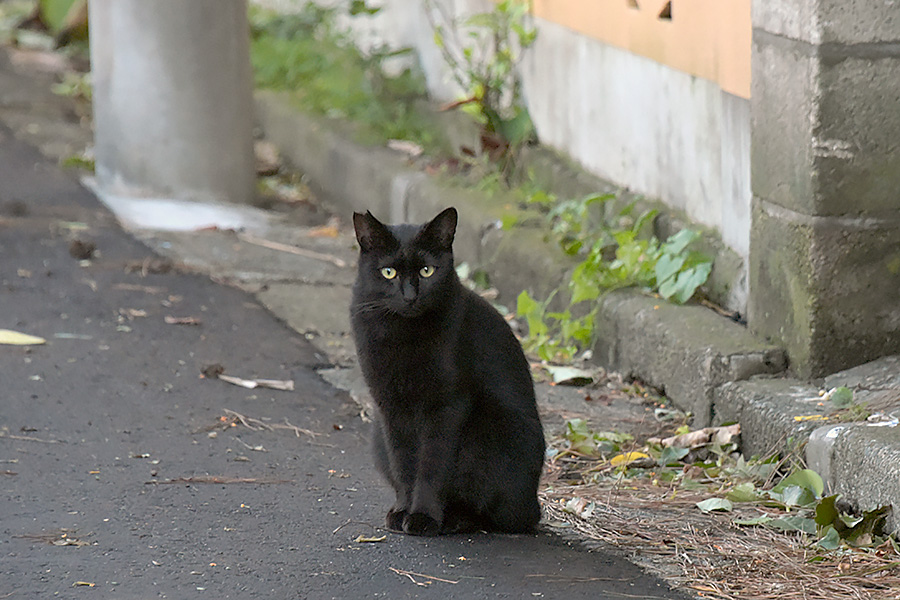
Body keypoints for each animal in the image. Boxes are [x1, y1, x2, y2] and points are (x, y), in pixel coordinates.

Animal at [348, 209, 544, 536]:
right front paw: (403, 510)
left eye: (427, 271)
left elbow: (431, 468)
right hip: (376, 434)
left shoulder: (447, 406)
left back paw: (455, 519)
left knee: (501, 515)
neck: (404, 334)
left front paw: (422, 516)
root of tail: (534, 502)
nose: (410, 295)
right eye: (388, 272)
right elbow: (403, 464)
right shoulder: (390, 409)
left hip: (489, 430)